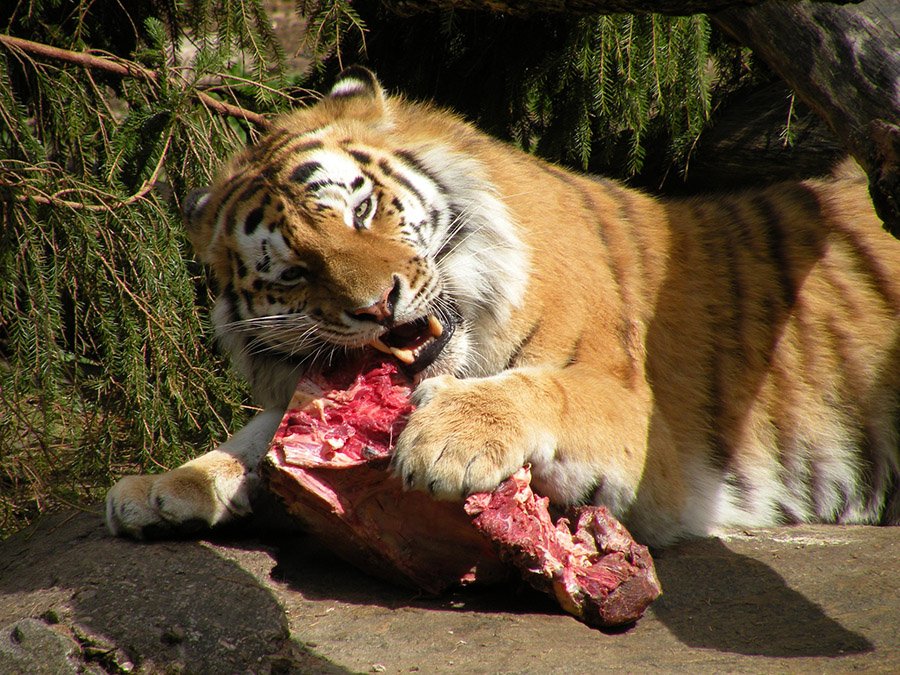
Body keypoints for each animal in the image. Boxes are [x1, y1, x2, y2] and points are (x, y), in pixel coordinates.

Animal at [109, 66, 900, 548]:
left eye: (361, 212)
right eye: (297, 272)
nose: (377, 305)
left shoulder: (641, 424)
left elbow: (544, 387)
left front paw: (448, 440)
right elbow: (259, 432)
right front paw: (166, 485)